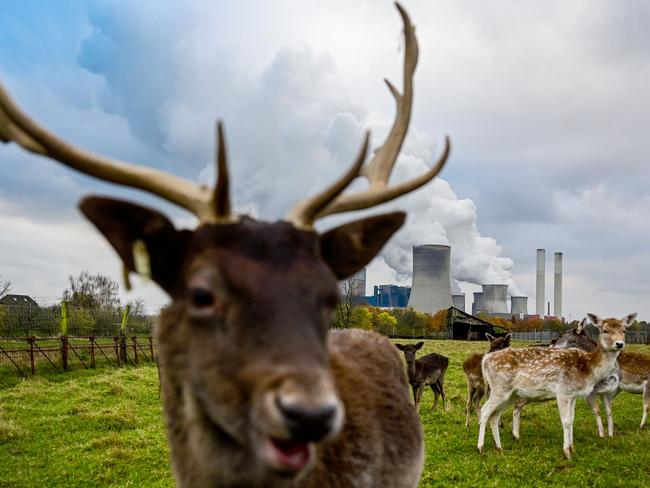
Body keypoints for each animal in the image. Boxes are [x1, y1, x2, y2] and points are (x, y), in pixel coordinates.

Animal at [476, 314, 632, 460]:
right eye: (605, 330)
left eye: (624, 330)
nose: (619, 344)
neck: (589, 367)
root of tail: (485, 360)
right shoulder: (563, 391)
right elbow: (566, 421)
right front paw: (567, 453)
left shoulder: (573, 395)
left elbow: (572, 419)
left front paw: (572, 447)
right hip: (499, 388)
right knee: (484, 410)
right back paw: (480, 448)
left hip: (509, 394)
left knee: (495, 414)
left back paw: (499, 447)